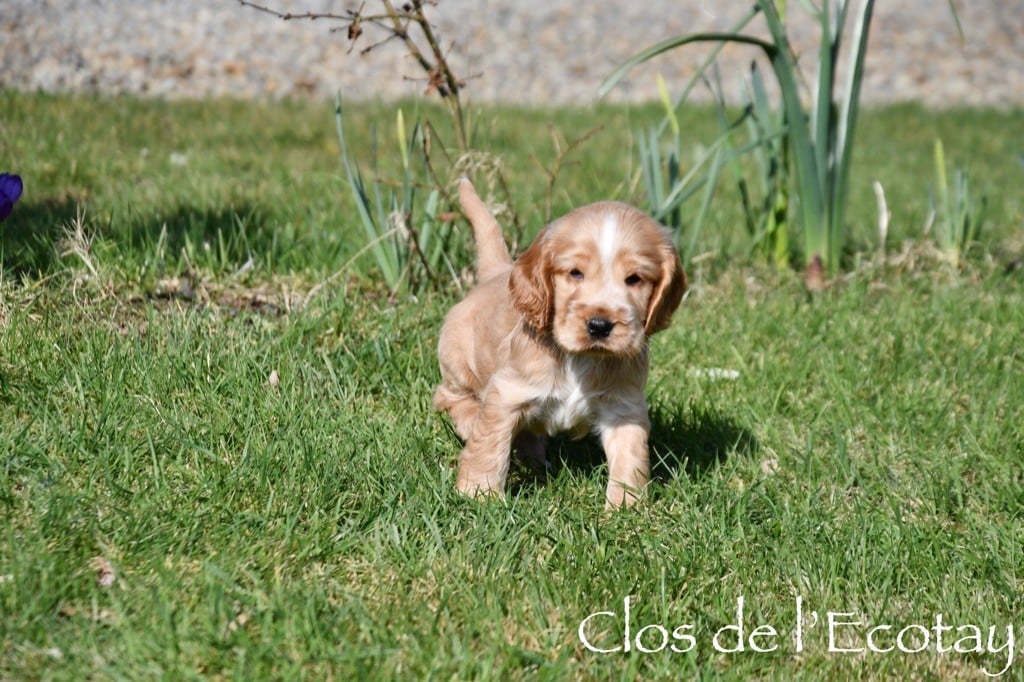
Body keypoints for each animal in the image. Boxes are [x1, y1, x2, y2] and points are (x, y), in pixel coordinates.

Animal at [434, 179, 688, 503]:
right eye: (575, 273)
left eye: (634, 278)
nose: (599, 325)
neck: (580, 358)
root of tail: (497, 273)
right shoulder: (506, 394)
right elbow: (489, 445)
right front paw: (479, 493)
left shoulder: (624, 405)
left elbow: (630, 457)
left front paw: (626, 506)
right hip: (458, 360)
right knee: (447, 396)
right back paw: (470, 421)